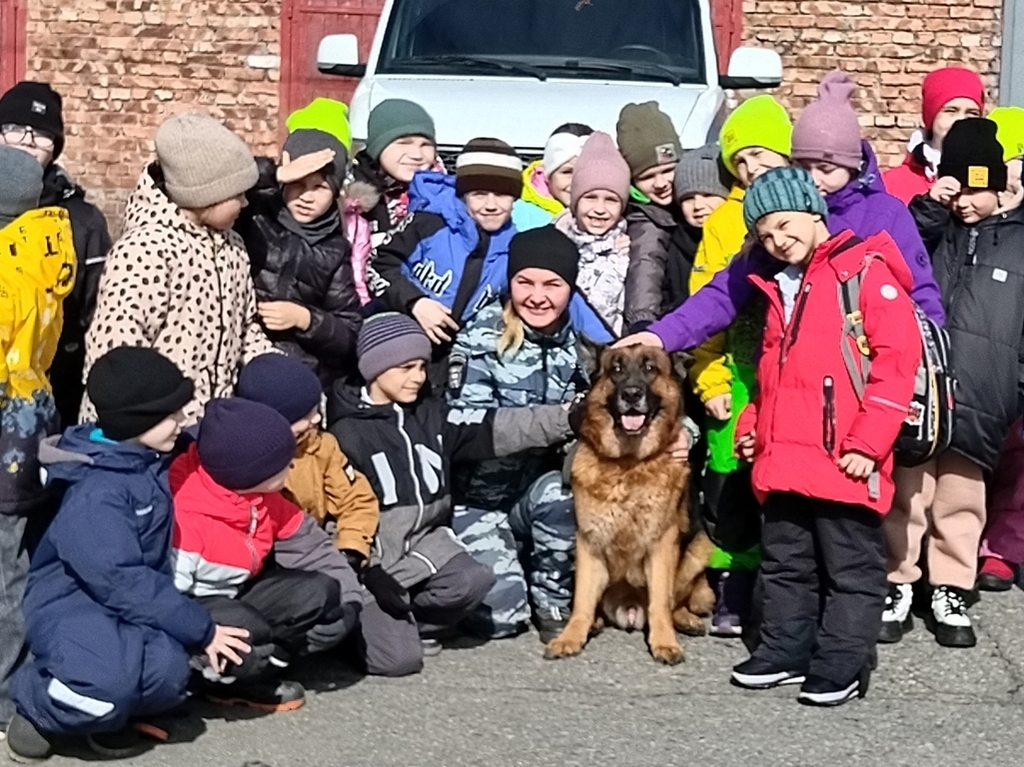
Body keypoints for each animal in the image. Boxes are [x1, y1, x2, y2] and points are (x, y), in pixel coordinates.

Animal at [544, 344, 712, 659]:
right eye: (616, 369)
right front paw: (571, 636)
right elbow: (581, 602)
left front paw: (664, 642)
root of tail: (630, 611)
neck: (629, 463)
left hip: (700, 547)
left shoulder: (662, 546)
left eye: (650, 368)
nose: (632, 394)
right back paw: (594, 622)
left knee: (675, 601)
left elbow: (660, 602)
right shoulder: (588, 543)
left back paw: (685, 619)